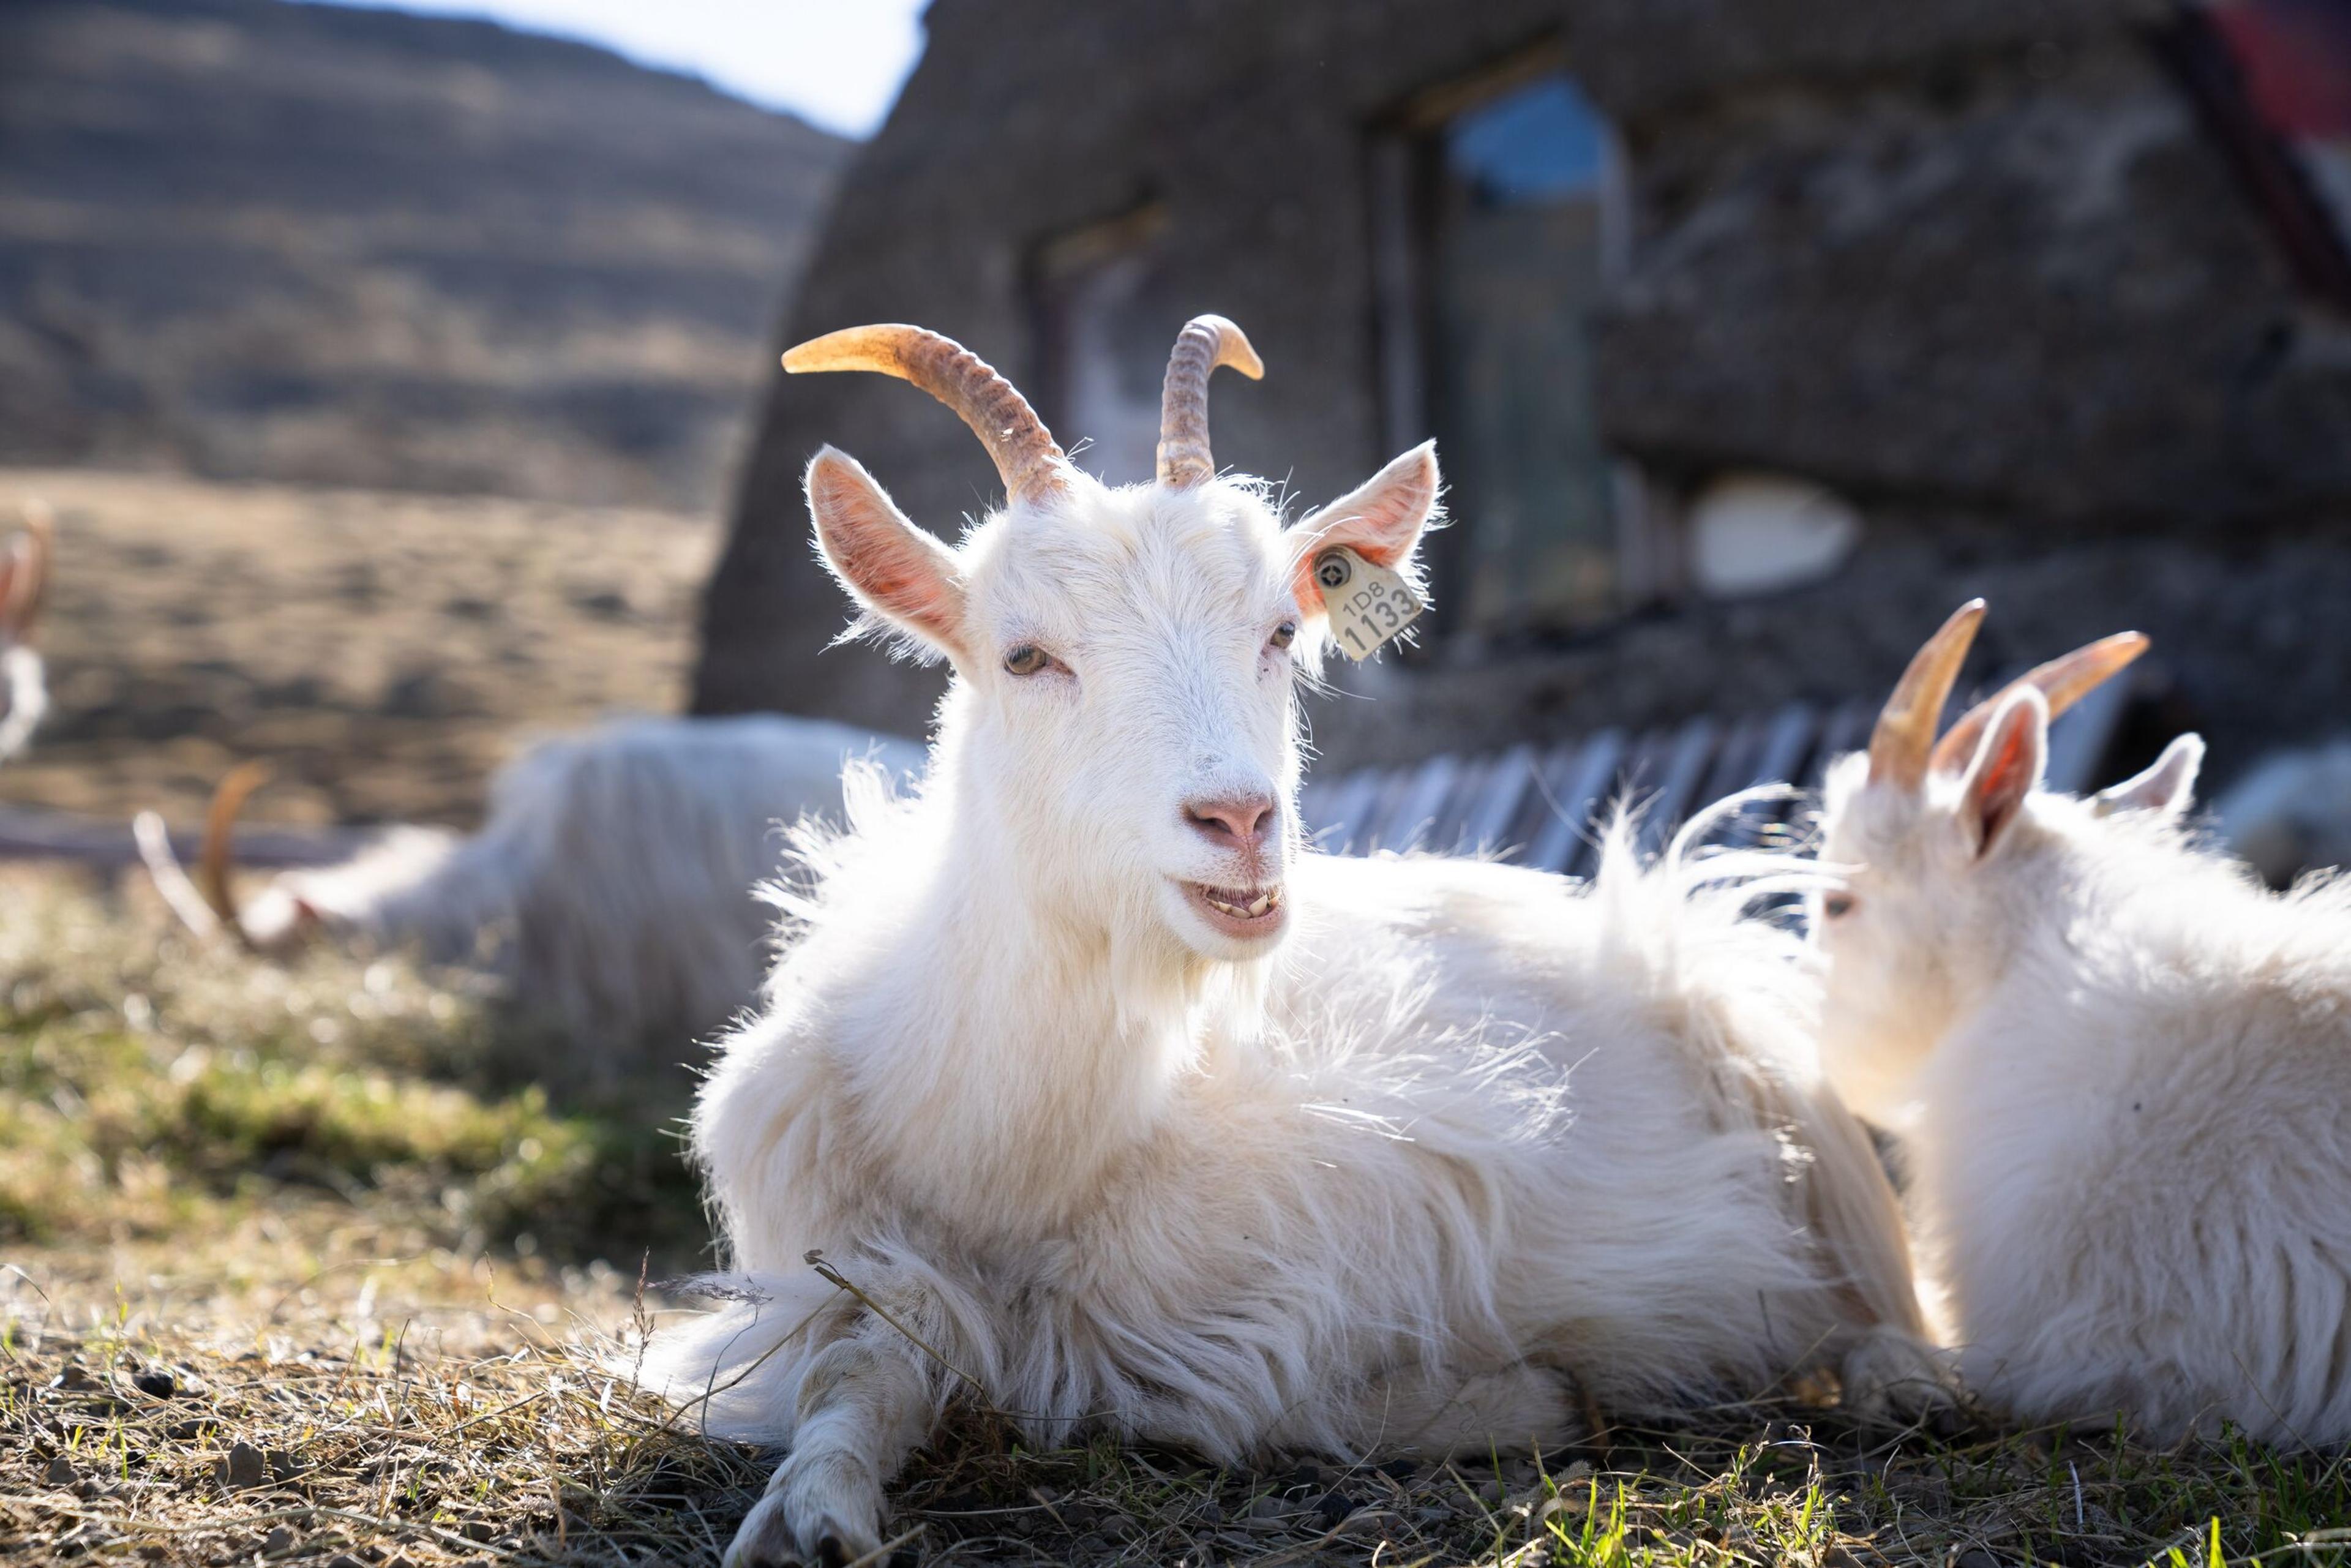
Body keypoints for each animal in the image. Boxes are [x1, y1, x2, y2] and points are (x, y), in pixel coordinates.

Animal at [644, 315, 1946, 1568]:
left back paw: (1905, 1383)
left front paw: (1532, 1396)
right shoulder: (836, 1274)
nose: (1239, 821)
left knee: (1877, 1304)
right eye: (1025, 654)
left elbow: (1227, 1394)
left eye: (1279, 631)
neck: (1020, 1161)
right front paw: (808, 1518)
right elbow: (857, 1368)